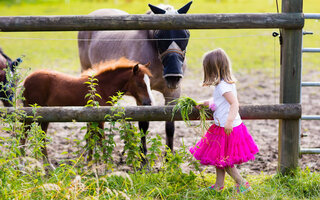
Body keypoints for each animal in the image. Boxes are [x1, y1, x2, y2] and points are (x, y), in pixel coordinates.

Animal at [21, 57, 154, 162]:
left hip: (44, 116)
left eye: (149, 83)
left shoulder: (91, 119)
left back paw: (47, 165)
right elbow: (101, 140)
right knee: (24, 135)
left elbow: (91, 139)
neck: (101, 88)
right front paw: (106, 163)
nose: (148, 102)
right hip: (32, 114)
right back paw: (22, 162)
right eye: (140, 84)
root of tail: (26, 80)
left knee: (41, 137)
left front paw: (89, 163)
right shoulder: (100, 119)